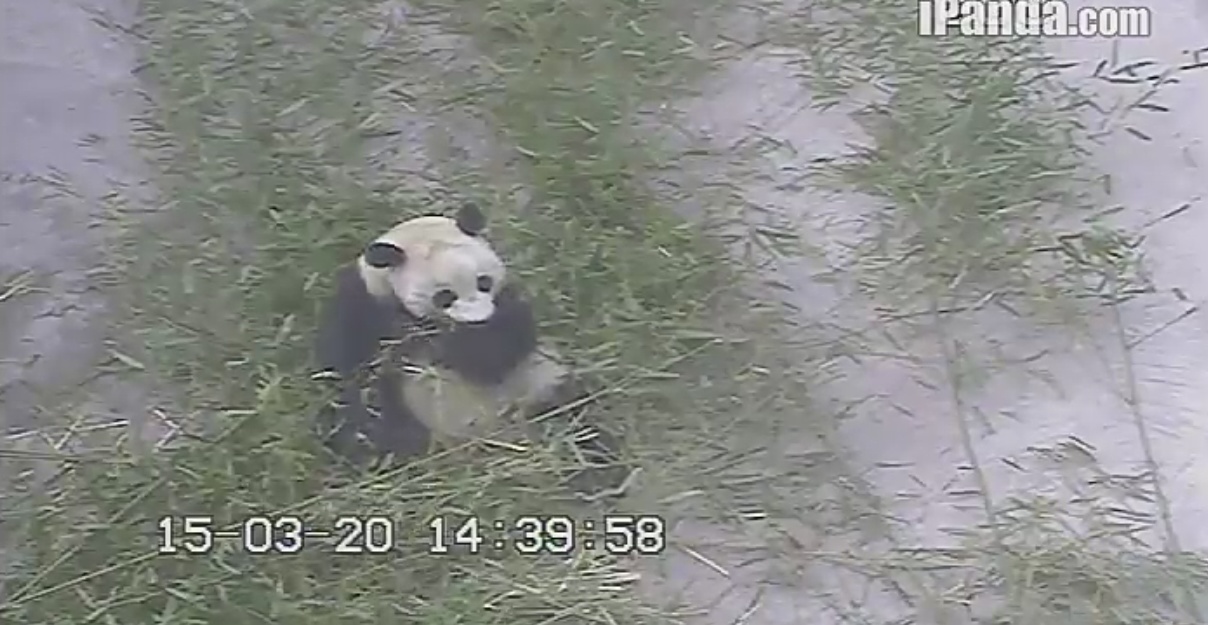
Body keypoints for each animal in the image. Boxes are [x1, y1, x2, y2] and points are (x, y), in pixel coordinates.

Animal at [312, 203, 628, 497]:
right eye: (444, 296)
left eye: (483, 281)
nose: (477, 320)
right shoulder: (362, 304)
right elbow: (353, 375)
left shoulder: (508, 301)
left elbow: (496, 353)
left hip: (539, 386)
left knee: (574, 414)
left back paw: (594, 470)